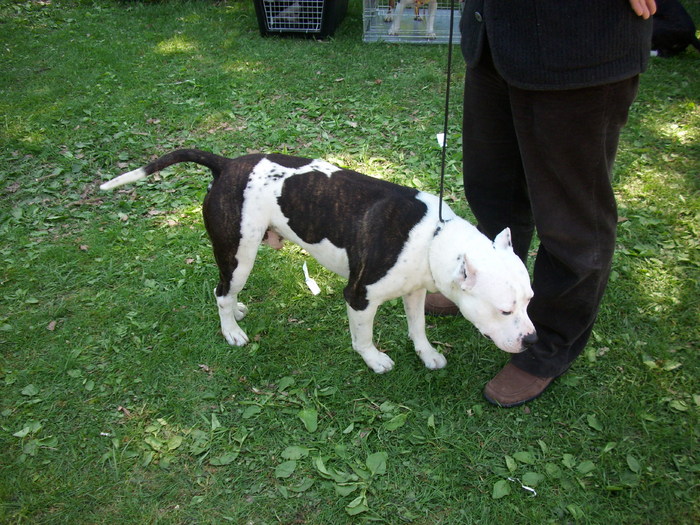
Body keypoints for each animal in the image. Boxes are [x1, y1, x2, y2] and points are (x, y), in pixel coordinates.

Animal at [100, 149, 536, 374]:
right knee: (221, 291)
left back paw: (237, 312)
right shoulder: (359, 297)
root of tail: (227, 164)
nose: (532, 340)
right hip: (239, 252)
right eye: (504, 309)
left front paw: (426, 352)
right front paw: (373, 359)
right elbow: (363, 336)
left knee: (225, 291)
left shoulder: (414, 290)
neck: (433, 236)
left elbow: (418, 326)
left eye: (530, 301)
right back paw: (231, 331)